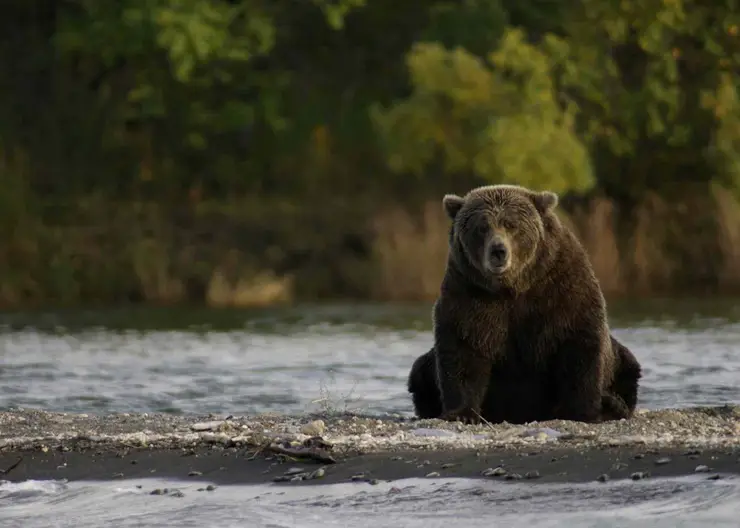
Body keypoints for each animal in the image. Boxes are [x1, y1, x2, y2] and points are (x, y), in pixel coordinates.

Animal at [408, 186, 640, 424]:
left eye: (511, 225)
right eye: (482, 227)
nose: (498, 251)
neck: (513, 286)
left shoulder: (561, 288)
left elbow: (578, 346)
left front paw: (582, 411)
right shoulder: (469, 293)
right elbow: (464, 349)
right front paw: (461, 413)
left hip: (620, 360)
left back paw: (612, 404)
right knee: (420, 372)